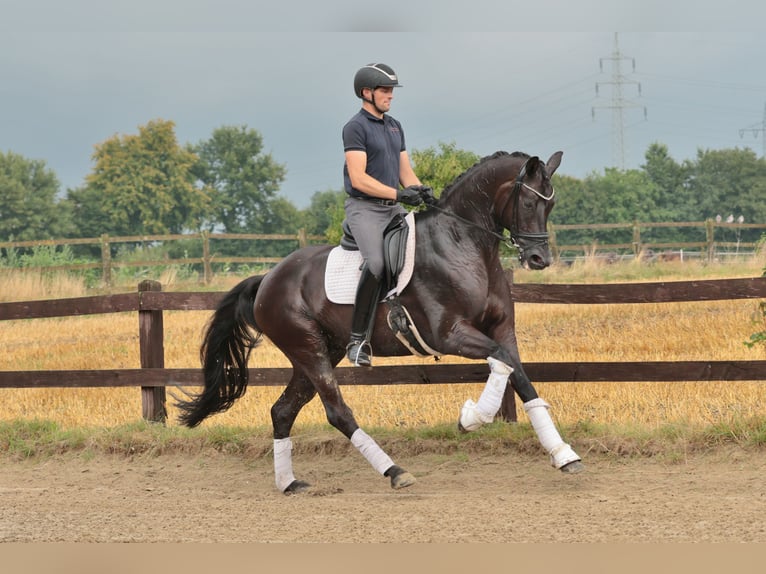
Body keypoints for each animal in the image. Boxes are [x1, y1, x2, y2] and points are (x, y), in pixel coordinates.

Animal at [177, 152, 584, 496]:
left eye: (551, 204)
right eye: (529, 202)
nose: (539, 259)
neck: (463, 245)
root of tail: (268, 279)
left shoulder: (501, 331)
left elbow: (518, 375)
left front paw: (564, 455)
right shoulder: (449, 334)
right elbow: (502, 363)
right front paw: (472, 418)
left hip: (320, 351)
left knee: (283, 411)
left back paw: (290, 483)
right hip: (308, 349)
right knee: (337, 412)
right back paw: (395, 471)